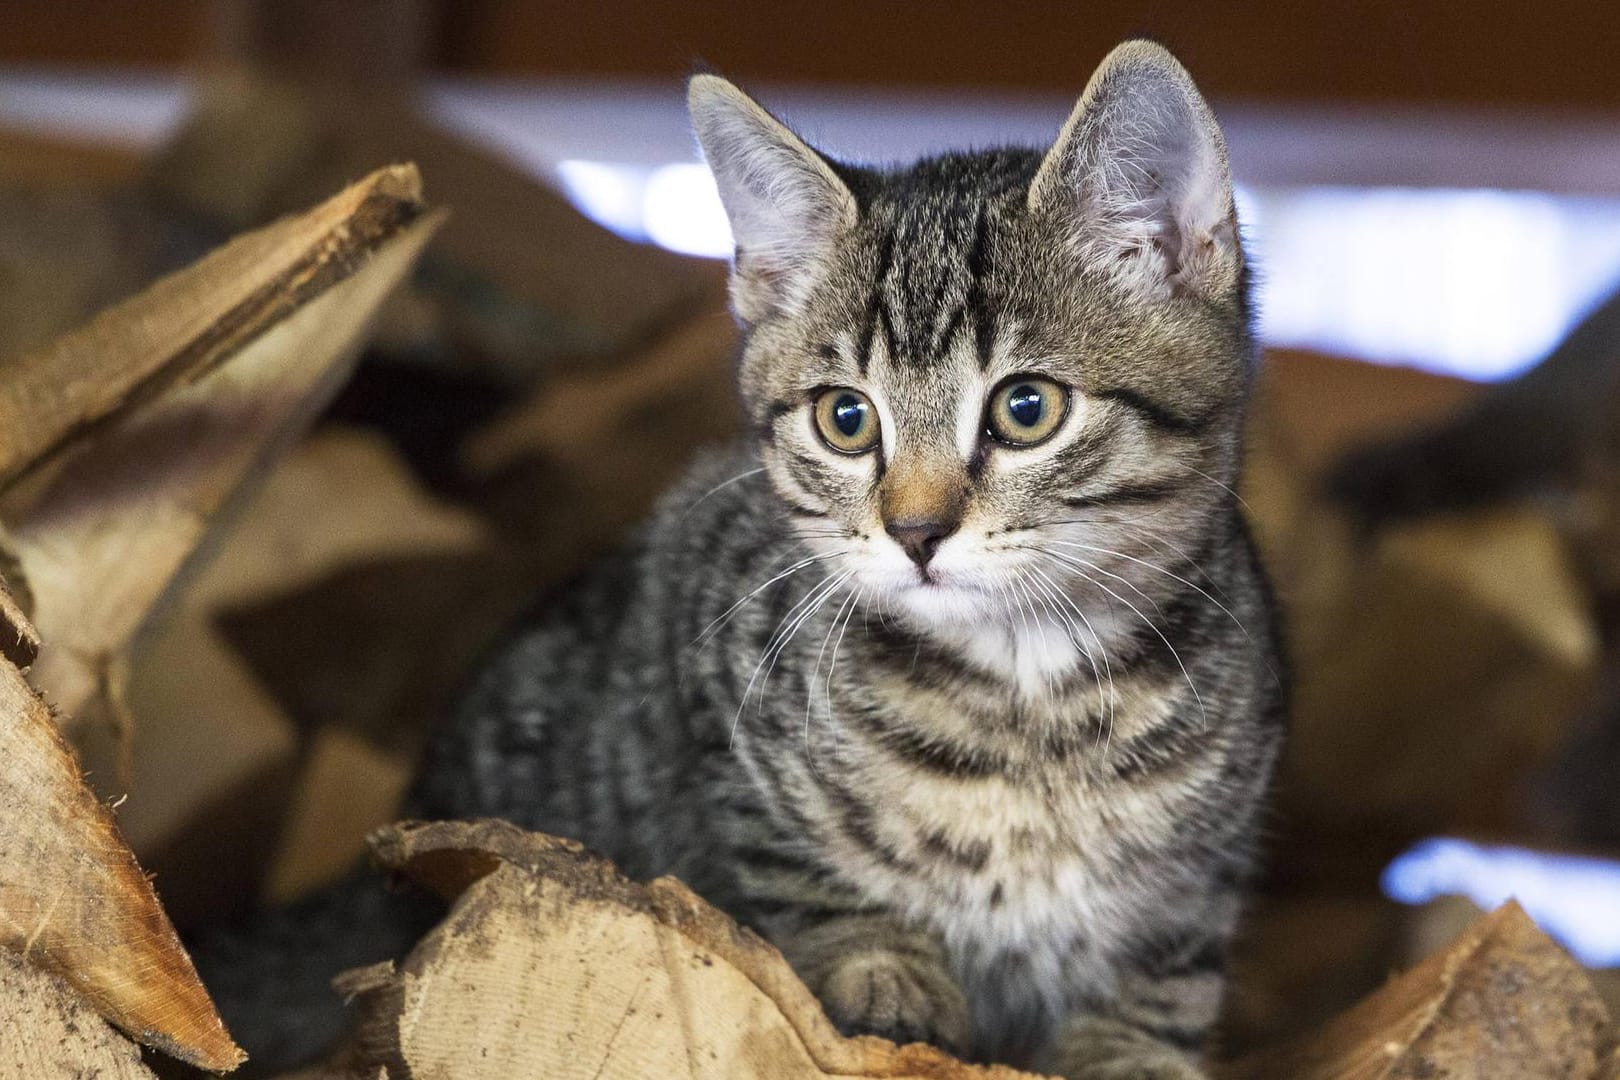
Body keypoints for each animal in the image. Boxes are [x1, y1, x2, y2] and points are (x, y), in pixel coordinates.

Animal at [414, 38, 1276, 1075]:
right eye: (846, 419)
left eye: (1027, 408)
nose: (915, 530)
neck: (1031, 703)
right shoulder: (704, 661)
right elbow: (800, 868)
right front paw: (883, 972)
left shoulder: (1214, 852)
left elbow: (1167, 962)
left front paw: (1132, 1047)